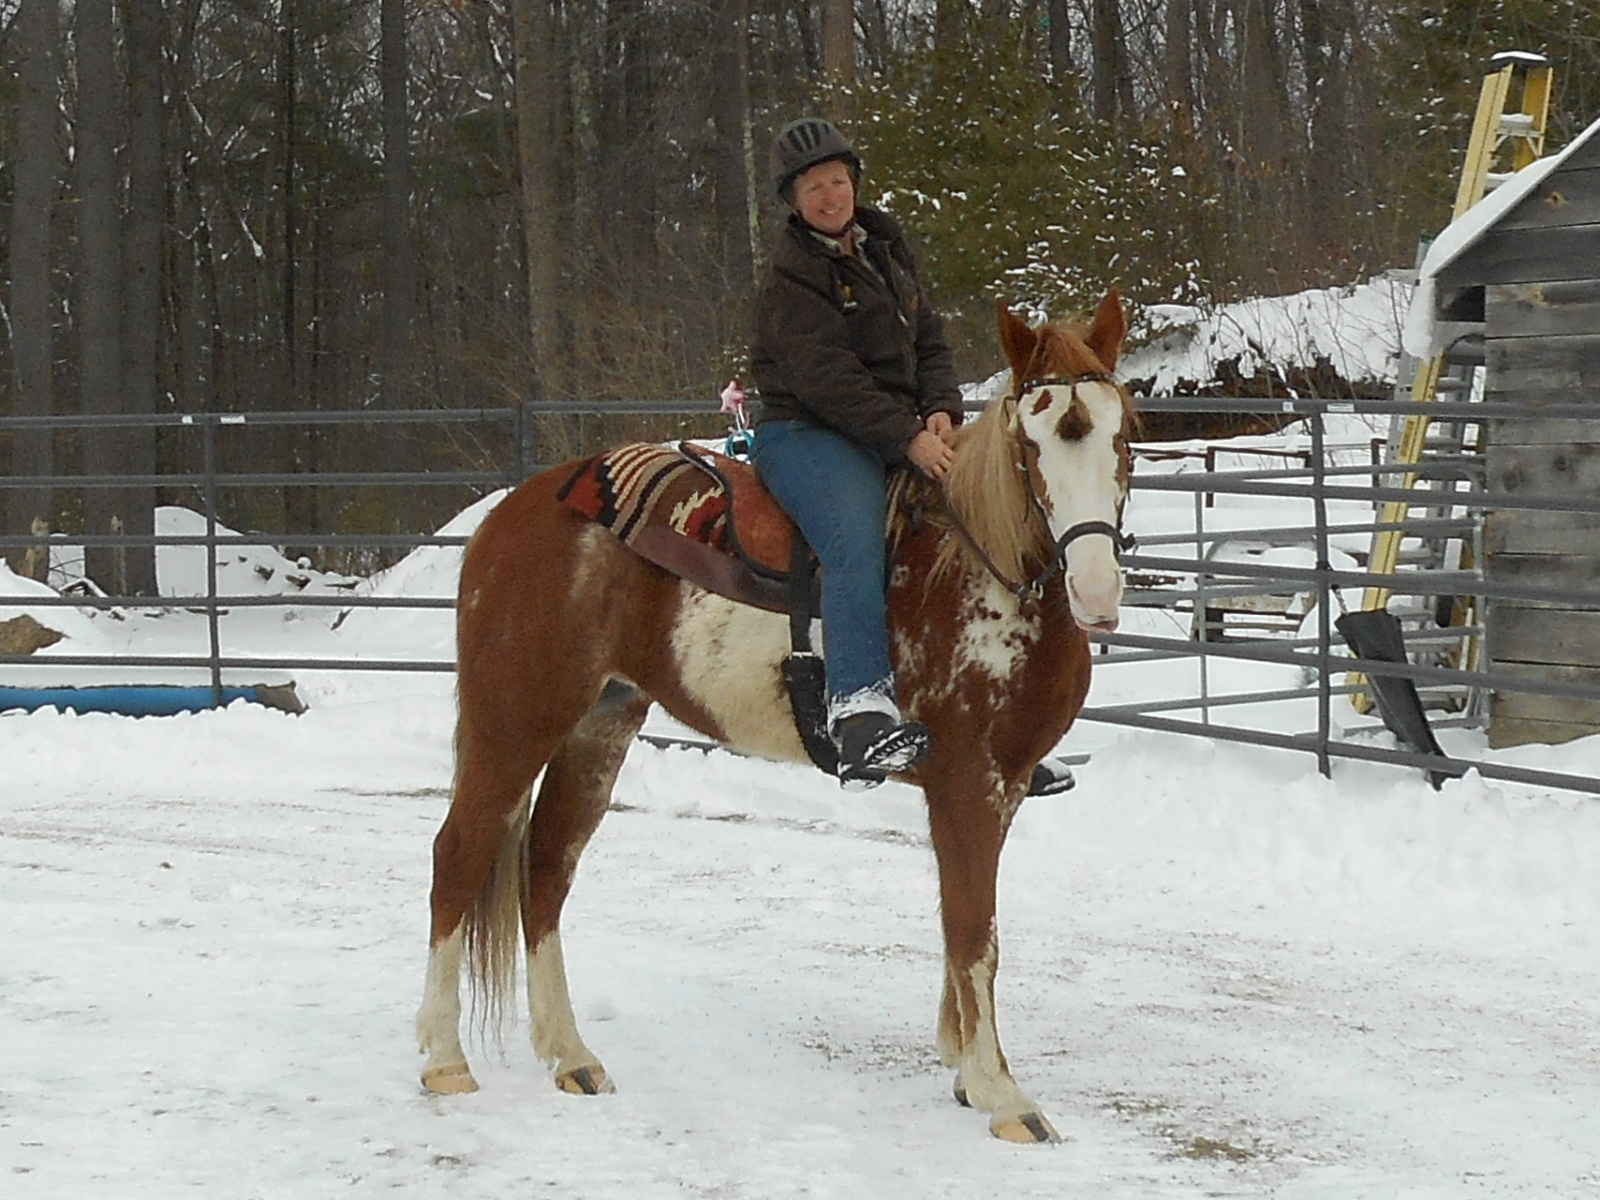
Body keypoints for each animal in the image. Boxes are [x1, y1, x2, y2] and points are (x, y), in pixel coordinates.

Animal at [415, 291, 1137, 1143]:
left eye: (1123, 434)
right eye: (1031, 445)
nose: (1097, 591)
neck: (975, 568)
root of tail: (514, 511)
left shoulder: (1006, 783)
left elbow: (957, 921)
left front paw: (964, 1065)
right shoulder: (968, 781)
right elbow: (975, 933)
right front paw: (1002, 1092)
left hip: (600, 724)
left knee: (547, 869)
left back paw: (570, 1054)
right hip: (515, 720)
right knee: (459, 855)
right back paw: (444, 1060)